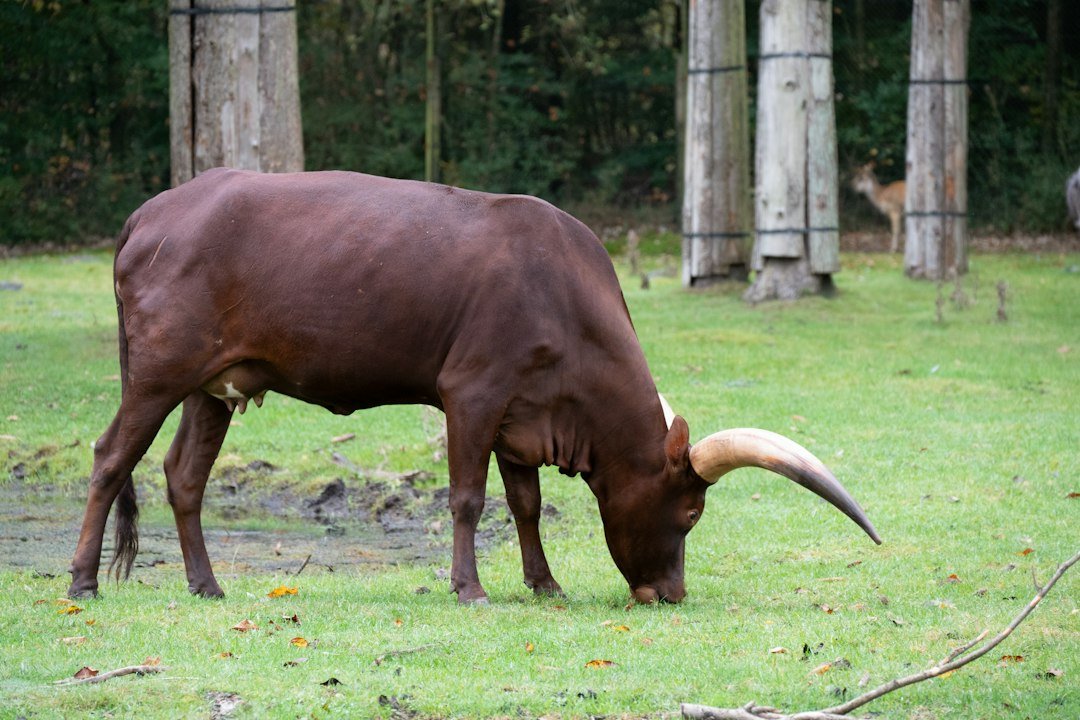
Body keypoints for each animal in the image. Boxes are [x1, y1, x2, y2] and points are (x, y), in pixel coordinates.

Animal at [68, 168, 881, 605]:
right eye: (689, 515)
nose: (670, 594)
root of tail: (156, 210)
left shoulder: (526, 414)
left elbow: (526, 503)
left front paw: (544, 584)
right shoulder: (473, 394)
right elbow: (467, 498)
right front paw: (472, 588)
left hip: (211, 385)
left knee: (184, 475)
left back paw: (206, 585)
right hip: (158, 371)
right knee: (110, 459)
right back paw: (81, 583)